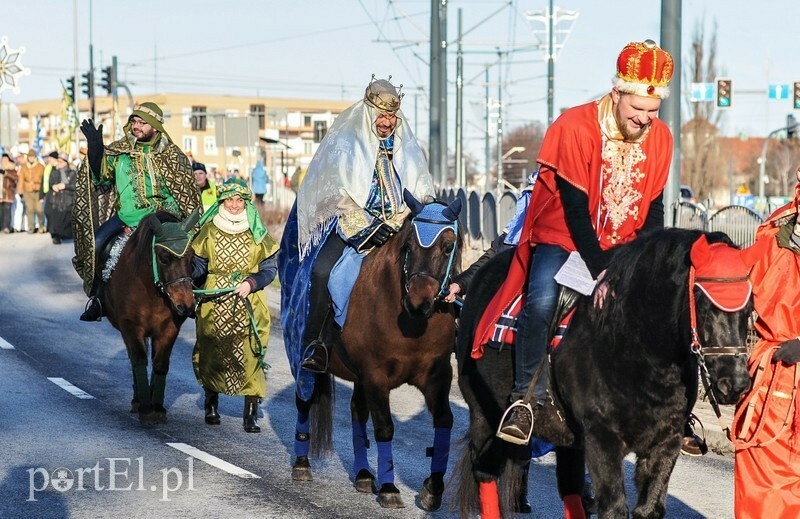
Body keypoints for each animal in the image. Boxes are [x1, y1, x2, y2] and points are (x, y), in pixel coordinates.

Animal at [100, 211, 197, 426]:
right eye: (164, 258)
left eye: (191, 256)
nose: (186, 305)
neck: (152, 290)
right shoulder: (131, 326)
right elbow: (138, 359)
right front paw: (145, 408)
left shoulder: (169, 328)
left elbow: (160, 363)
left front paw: (158, 407)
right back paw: (138, 400)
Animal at [282, 189, 462, 510]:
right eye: (408, 245)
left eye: (448, 246)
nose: (419, 302)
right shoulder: (376, 376)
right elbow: (385, 428)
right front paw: (390, 487)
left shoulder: (437, 376)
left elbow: (444, 422)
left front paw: (433, 488)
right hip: (304, 360)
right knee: (304, 400)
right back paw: (302, 464)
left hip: (358, 377)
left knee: (357, 411)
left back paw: (364, 474)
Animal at [454, 231, 752, 519]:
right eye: (704, 305)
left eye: (749, 309)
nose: (735, 383)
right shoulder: (602, 441)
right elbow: (614, 509)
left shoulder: (665, 443)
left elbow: (649, 509)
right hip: (484, 416)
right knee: (485, 473)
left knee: (570, 488)